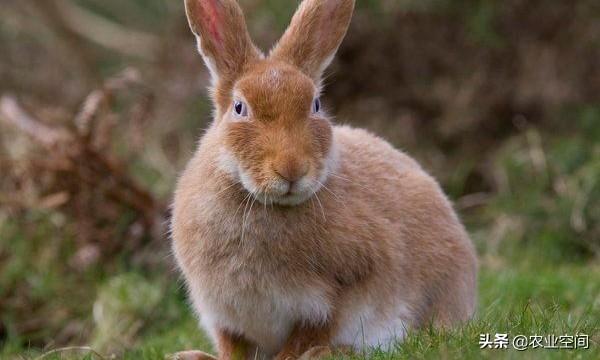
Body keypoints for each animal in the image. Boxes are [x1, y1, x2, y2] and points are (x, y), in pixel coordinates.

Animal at [170, 0, 478, 360]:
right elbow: (232, 348)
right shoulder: (223, 314)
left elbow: (307, 335)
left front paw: (299, 355)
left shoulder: (339, 295)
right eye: (239, 107)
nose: (291, 169)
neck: (264, 202)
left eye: (316, 105)